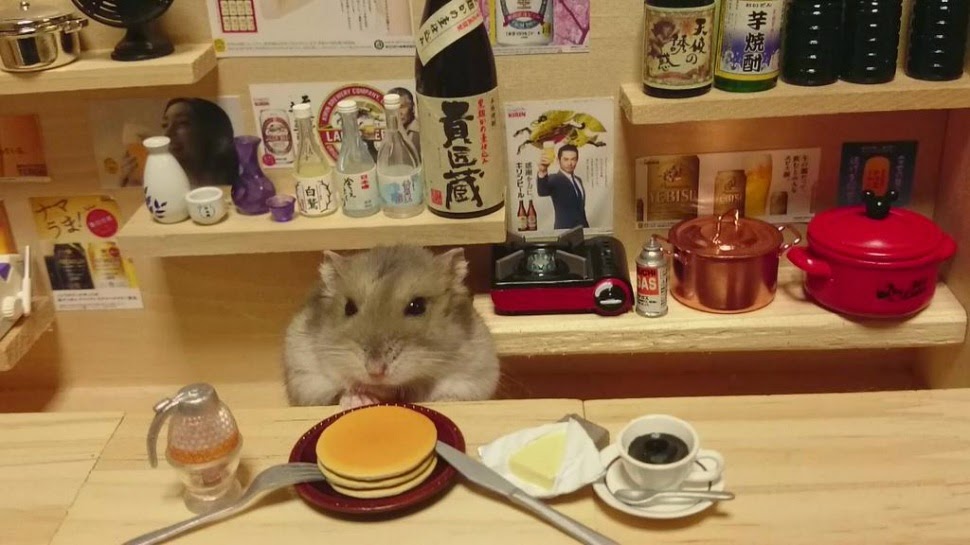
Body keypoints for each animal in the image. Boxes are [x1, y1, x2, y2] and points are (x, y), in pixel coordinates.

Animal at [282, 245, 500, 408]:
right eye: (349, 307)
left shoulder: (475, 377)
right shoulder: (305, 376)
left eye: (417, 306)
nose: (375, 371)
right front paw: (359, 400)